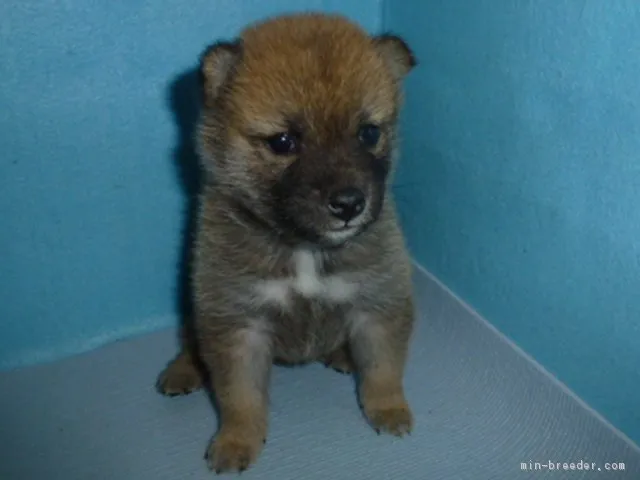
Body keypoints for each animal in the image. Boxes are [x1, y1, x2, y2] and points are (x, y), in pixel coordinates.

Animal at [158, 13, 418, 474]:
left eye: (369, 133)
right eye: (283, 141)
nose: (349, 204)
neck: (305, 249)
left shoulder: (378, 302)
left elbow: (383, 370)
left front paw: (389, 410)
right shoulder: (236, 322)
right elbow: (240, 397)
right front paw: (236, 442)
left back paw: (342, 356)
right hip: (196, 309)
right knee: (189, 342)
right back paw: (181, 372)